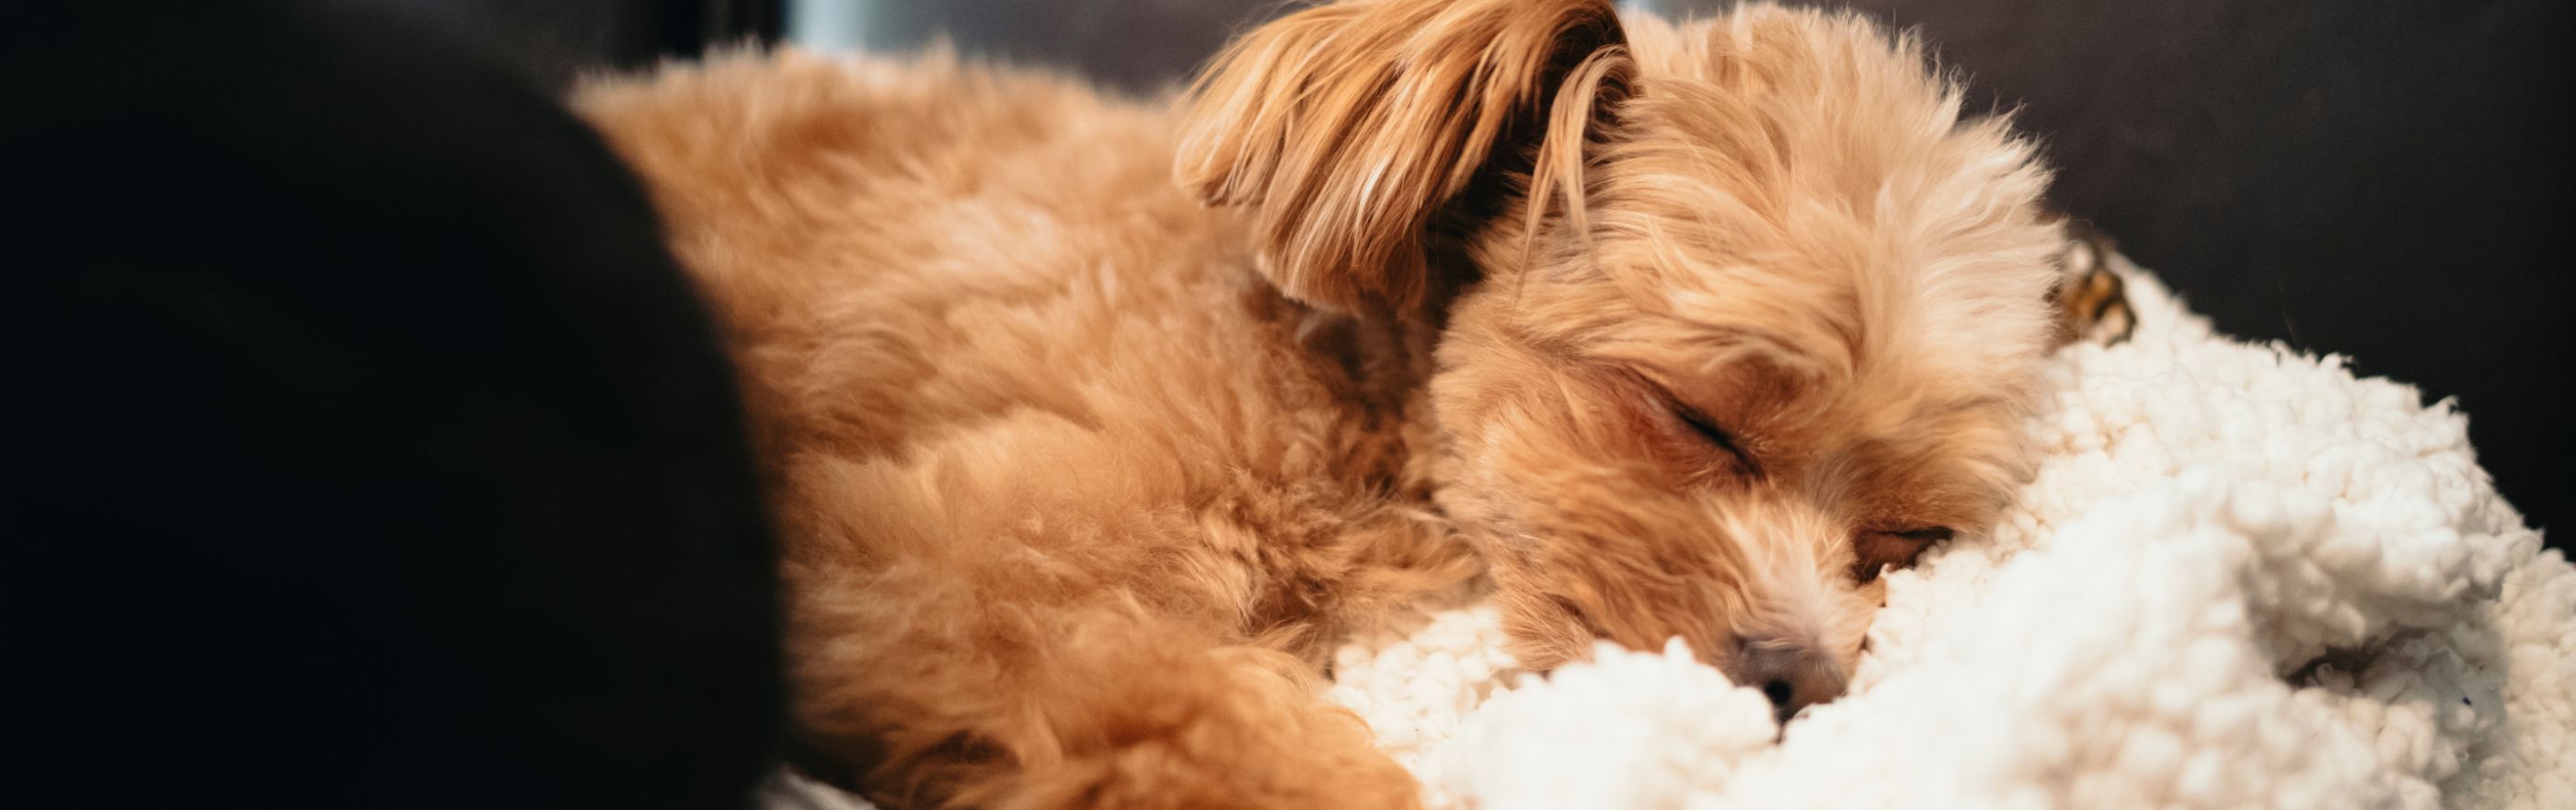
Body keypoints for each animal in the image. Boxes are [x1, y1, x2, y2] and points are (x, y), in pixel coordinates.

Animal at [578, 1, 2124, 807]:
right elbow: (1220, 726)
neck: (1346, 395)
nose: (1801, 679)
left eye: (1902, 540)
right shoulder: (943, 575)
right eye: (1698, 421)